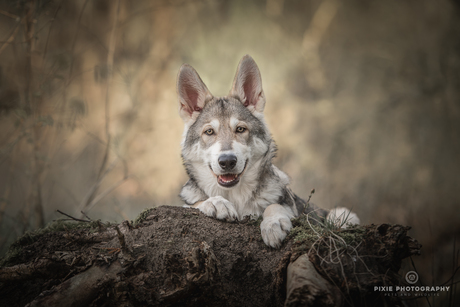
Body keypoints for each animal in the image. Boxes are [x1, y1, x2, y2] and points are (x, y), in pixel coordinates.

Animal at [176, 54, 360, 248]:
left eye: (240, 129)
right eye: (209, 132)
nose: (227, 161)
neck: (236, 198)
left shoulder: (288, 205)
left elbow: (274, 206)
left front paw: (273, 224)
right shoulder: (188, 203)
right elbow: (195, 203)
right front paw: (216, 202)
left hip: (343, 215)